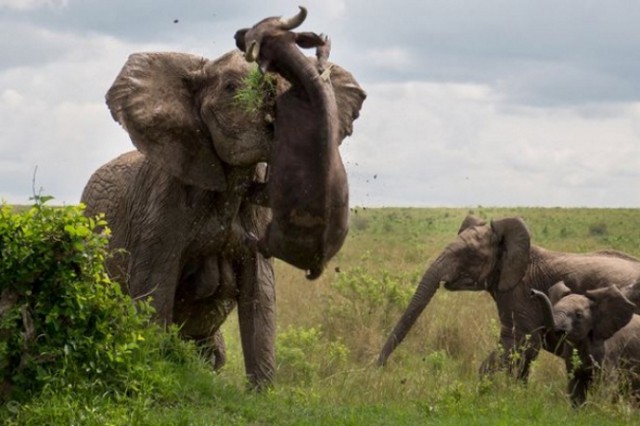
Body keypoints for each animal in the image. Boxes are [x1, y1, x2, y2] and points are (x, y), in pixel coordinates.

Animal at [82, 32, 364, 390]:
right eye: (231, 88)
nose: (320, 41)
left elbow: (261, 295)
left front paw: (261, 394)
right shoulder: (160, 208)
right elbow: (153, 290)